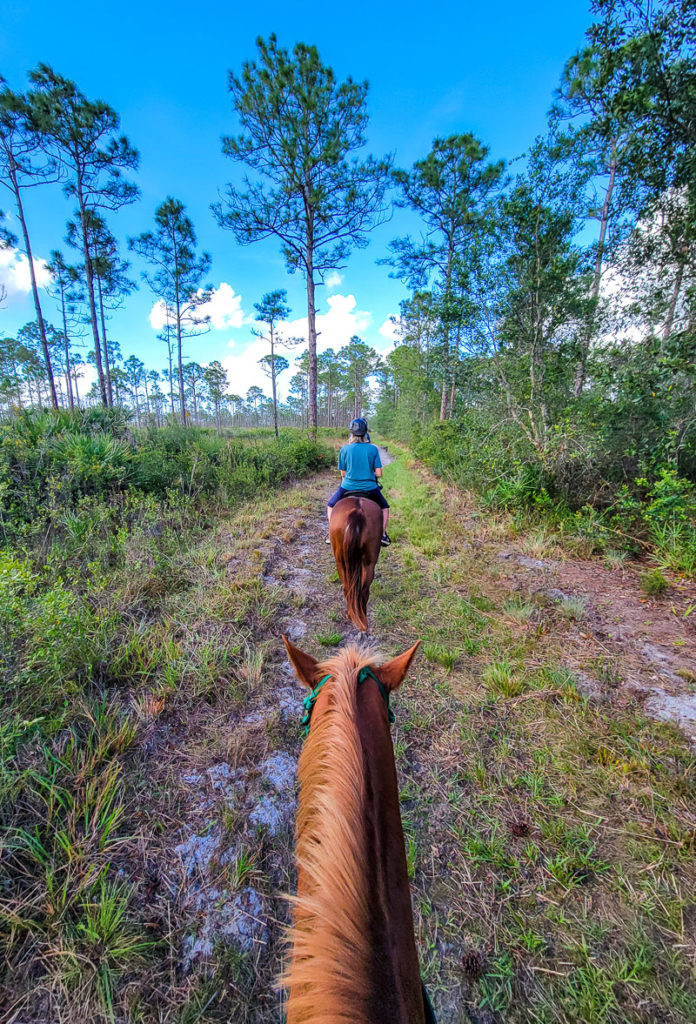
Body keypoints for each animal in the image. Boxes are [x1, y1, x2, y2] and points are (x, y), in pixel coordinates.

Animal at [329, 495, 382, 630]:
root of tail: (357, 513)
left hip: (341, 561)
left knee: (347, 587)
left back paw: (351, 615)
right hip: (368, 563)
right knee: (363, 589)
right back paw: (362, 614)